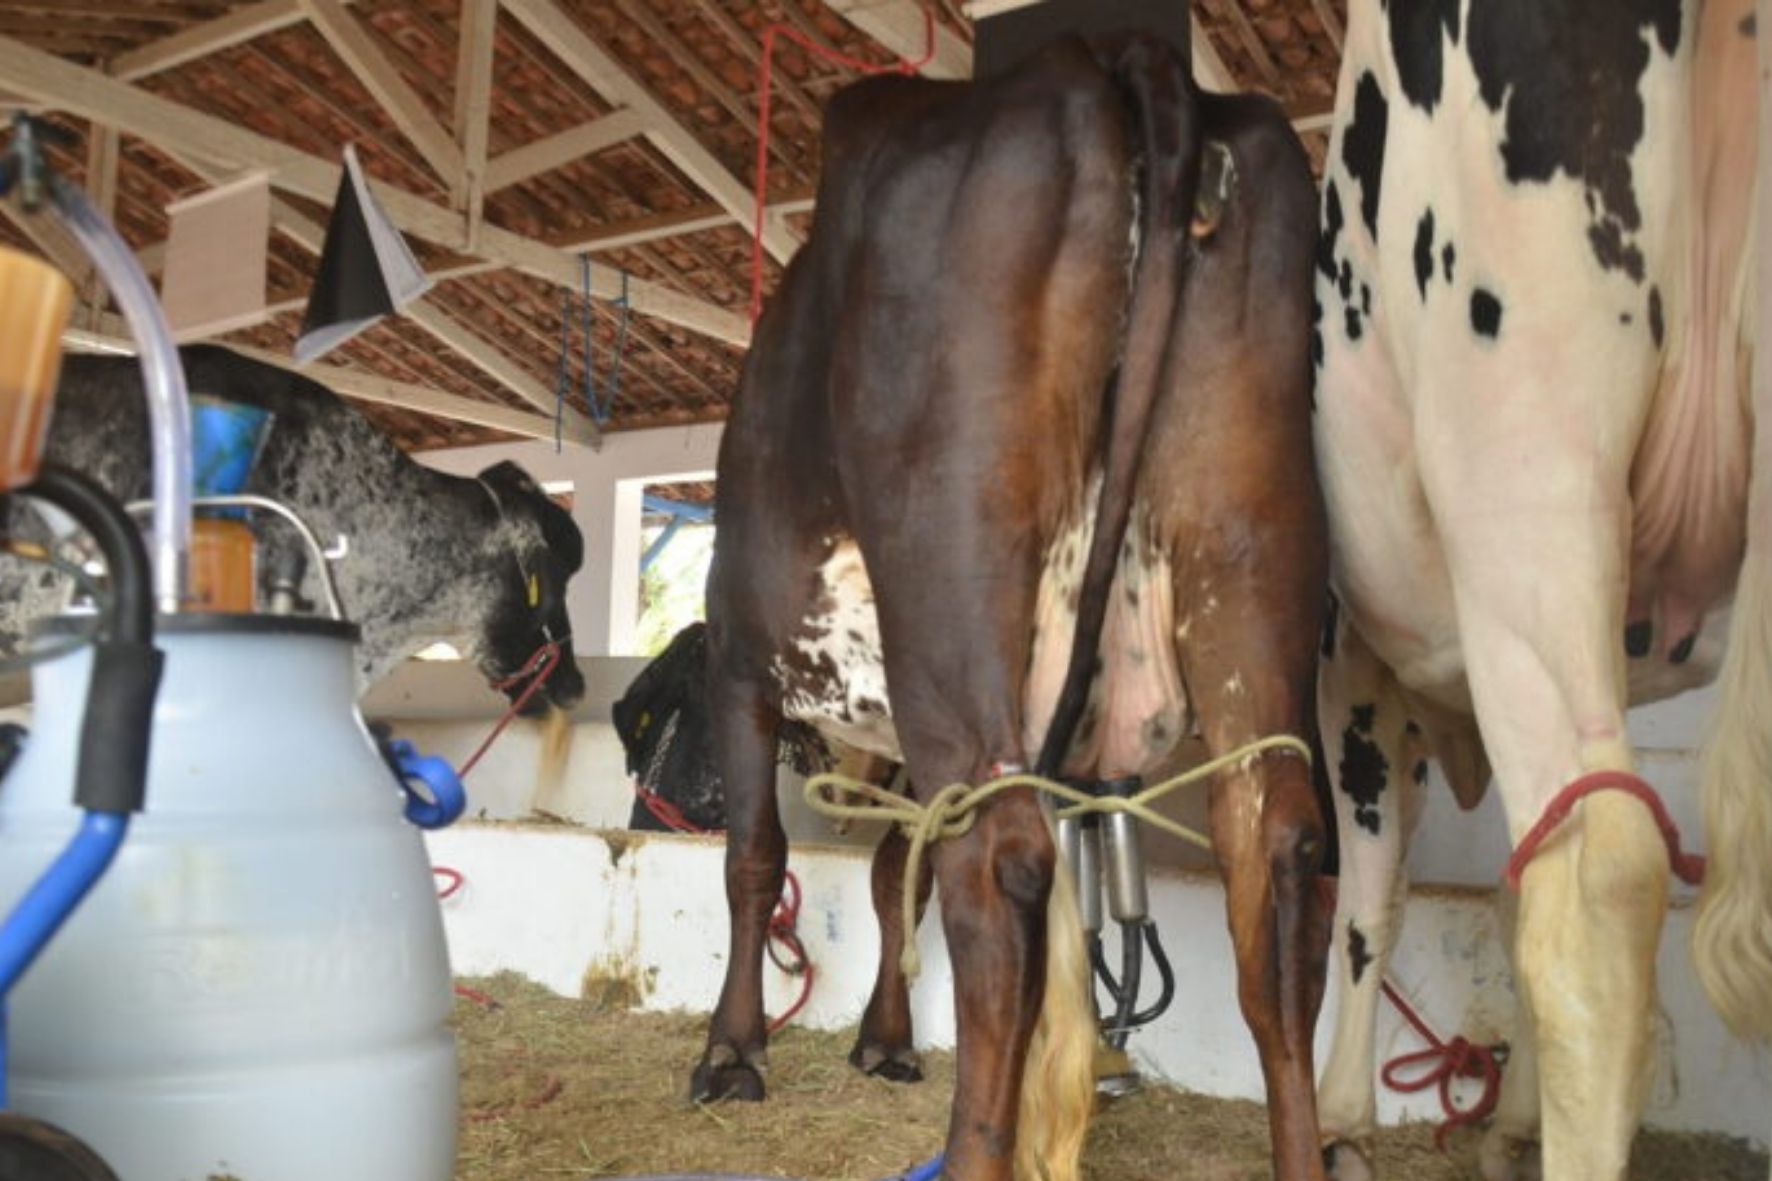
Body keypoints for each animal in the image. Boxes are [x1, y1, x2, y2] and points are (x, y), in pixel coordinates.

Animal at [699, 32, 1330, 1181]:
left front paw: (732, 1051)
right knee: (1279, 853)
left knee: (999, 869)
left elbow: (756, 857)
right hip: (1253, 544)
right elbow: (890, 875)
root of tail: (1125, 72)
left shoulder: (735, 660)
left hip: (951, 585)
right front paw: (886, 1038)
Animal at [1310, 2, 1770, 1178]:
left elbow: (1371, 901)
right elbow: (1502, 889)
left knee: (1597, 883)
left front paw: (1338, 1113)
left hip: (1521, 459)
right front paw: (1512, 1121)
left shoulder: (1354, 662)